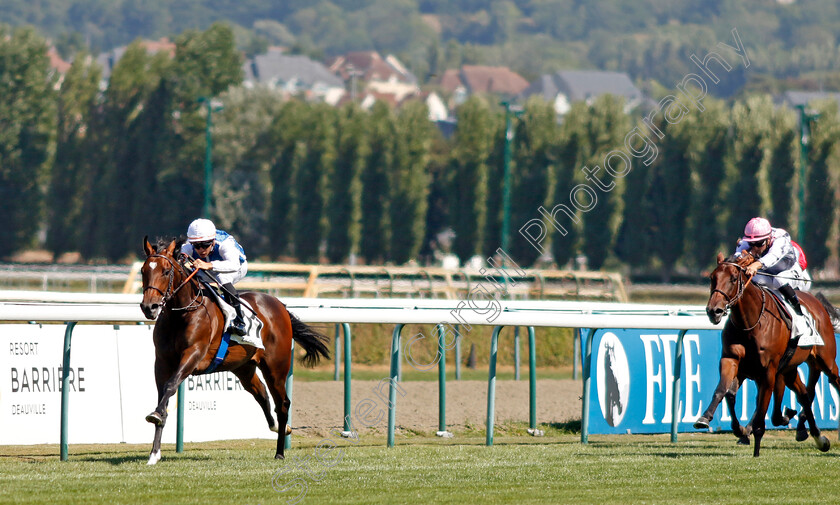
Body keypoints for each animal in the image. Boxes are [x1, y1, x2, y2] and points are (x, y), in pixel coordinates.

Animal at [139, 237, 330, 464]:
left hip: (276, 367)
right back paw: (277, 427)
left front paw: (155, 417)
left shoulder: (193, 355)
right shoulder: (162, 361)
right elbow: (163, 396)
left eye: (166, 271)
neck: (181, 314)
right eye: (143, 270)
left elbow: (170, 386)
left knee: (282, 403)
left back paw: (280, 451)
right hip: (243, 367)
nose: (149, 307)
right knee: (261, 393)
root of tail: (280, 305)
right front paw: (154, 452)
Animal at [696, 252, 840, 456]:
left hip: (825, 360)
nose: (713, 311)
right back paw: (818, 438)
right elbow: (724, 391)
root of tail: (818, 304)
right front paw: (706, 418)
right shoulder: (731, 360)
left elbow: (760, 408)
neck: (750, 323)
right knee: (804, 394)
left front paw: (755, 448)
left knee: (833, 381)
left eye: (733, 279)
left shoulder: (768, 371)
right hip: (789, 369)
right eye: (712, 278)